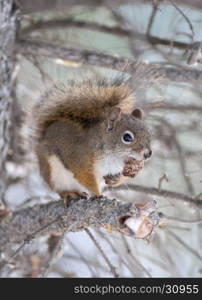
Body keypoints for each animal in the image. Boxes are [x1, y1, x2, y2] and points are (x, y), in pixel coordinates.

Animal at [25, 68, 154, 202]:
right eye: (127, 137)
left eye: (149, 133)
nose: (148, 154)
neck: (114, 156)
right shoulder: (80, 159)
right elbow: (85, 177)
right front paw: (98, 194)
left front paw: (116, 181)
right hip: (53, 172)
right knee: (59, 190)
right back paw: (68, 193)